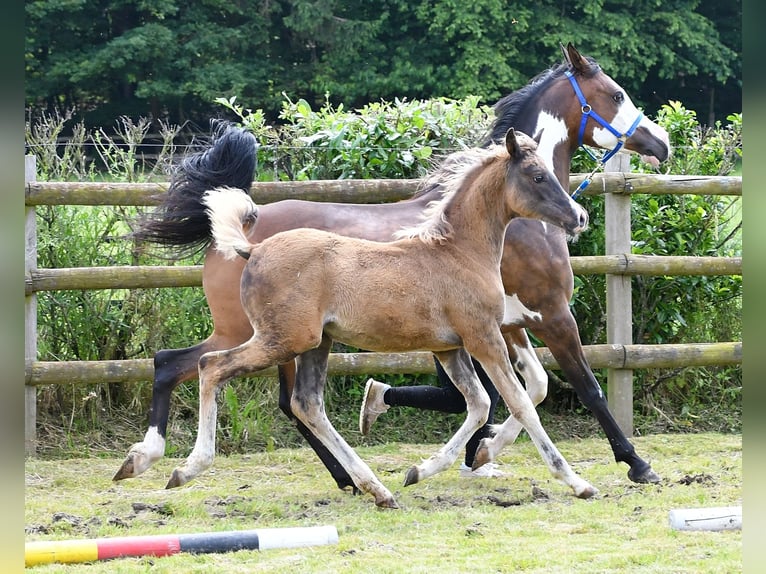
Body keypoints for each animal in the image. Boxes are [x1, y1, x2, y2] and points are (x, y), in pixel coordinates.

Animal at [170, 132, 592, 508]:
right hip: (283, 339)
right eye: (537, 176)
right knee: (211, 366)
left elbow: (479, 404)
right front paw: (576, 482)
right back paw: (186, 468)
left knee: (307, 404)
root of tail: (252, 248)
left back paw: (377, 489)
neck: (459, 252)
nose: (580, 216)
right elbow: (519, 403)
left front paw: (420, 470)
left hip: (315, 344)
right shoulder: (483, 337)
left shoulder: (449, 347)